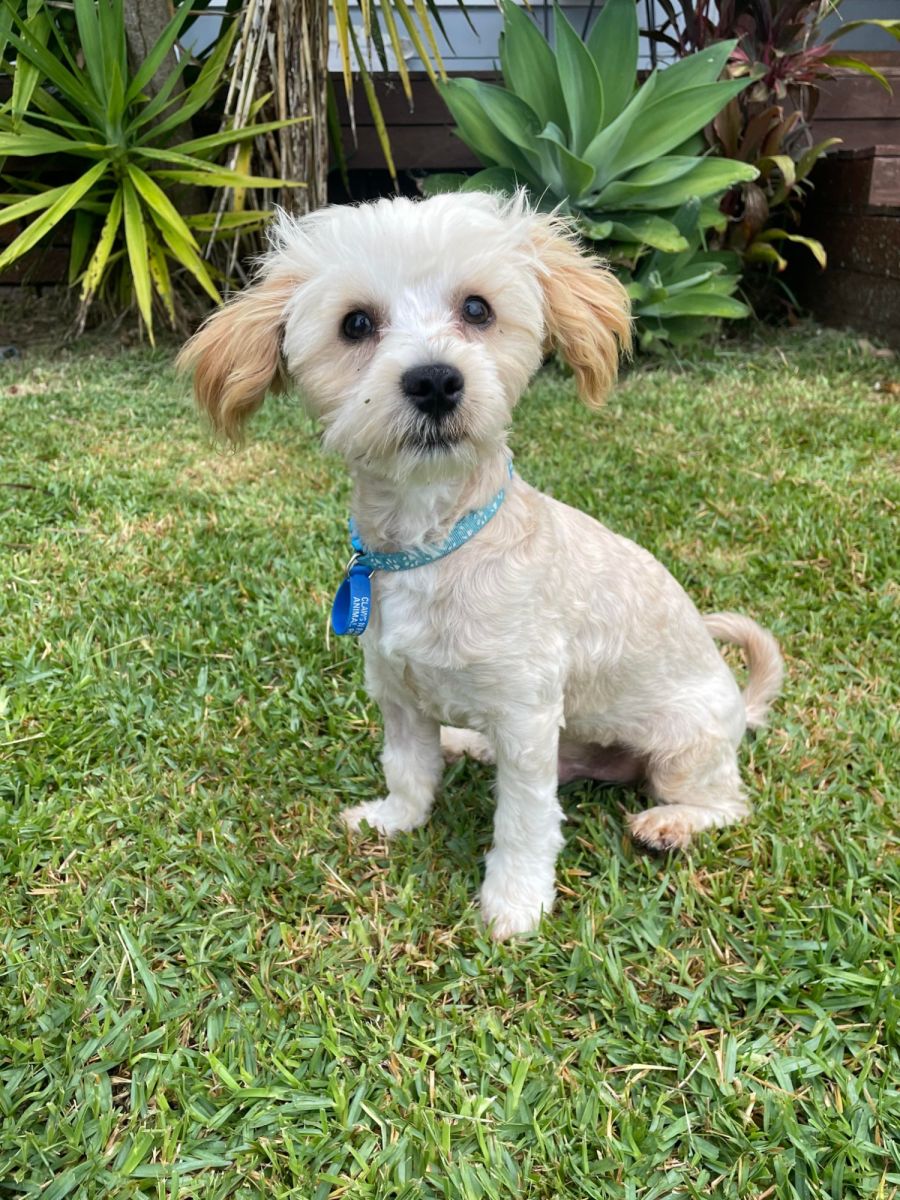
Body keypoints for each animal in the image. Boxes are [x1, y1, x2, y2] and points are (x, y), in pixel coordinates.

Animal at [178, 191, 783, 940]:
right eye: (356, 323)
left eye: (476, 308)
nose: (436, 380)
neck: (434, 547)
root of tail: (738, 709)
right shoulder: (399, 694)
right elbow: (408, 772)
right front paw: (393, 820)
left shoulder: (526, 714)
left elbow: (524, 820)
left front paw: (515, 903)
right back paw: (469, 743)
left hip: (681, 746)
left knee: (727, 803)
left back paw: (669, 823)